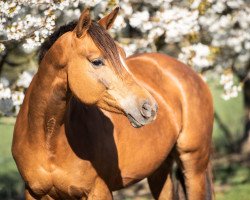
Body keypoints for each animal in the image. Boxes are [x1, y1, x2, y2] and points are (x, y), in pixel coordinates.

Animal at [12, 6, 214, 200]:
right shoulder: (34, 193)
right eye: (96, 61)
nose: (149, 108)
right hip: (159, 170)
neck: (47, 142)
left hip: (194, 165)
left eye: (123, 55)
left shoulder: (98, 191)